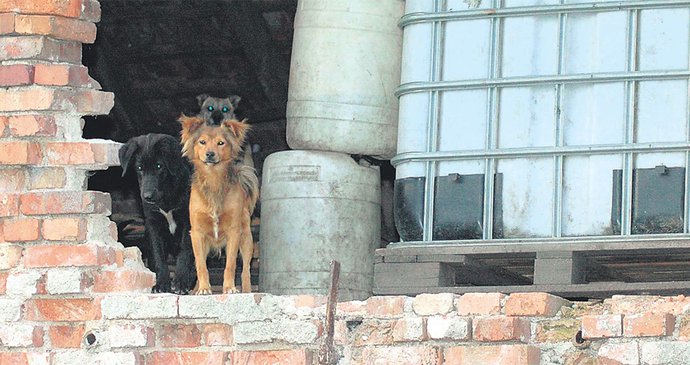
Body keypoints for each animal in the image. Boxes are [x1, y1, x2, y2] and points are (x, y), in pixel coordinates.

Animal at [119, 134, 196, 292]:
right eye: (139, 168)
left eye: (159, 166)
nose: (147, 196)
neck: (165, 197)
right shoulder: (153, 224)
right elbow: (158, 255)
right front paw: (161, 284)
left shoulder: (188, 221)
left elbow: (185, 251)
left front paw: (181, 281)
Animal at [179, 115, 260, 294]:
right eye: (202, 142)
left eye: (221, 143)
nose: (210, 154)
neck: (213, 178)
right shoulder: (197, 234)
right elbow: (201, 265)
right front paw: (203, 288)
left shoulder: (234, 233)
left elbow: (230, 265)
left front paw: (229, 288)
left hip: (247, 239)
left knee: (245, 270)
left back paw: (246, 290)